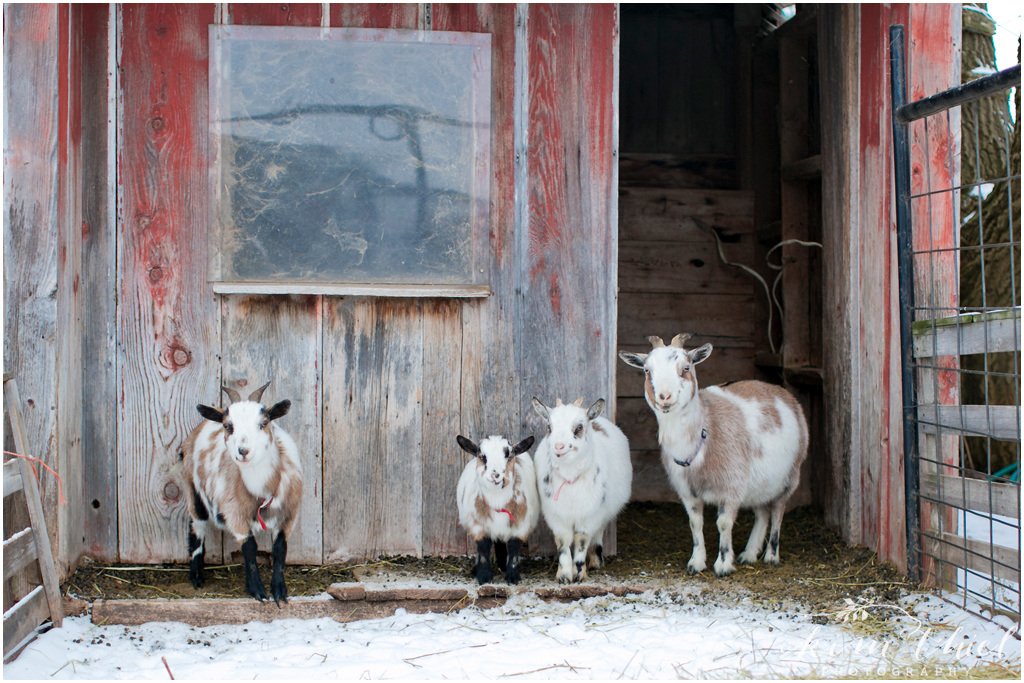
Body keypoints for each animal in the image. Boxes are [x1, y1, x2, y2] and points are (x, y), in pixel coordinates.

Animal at [176, 382, 301, 606]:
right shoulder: (235, 512)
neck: (262, 488)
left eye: (264, 423)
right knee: (197, 524)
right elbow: (249, 548)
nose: (243, 451)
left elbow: (280, 548)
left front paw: (279, 591)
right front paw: (257, 590)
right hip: (192, 486)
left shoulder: (289, 513)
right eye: (228, 426)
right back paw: (197, 575)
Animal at [454, 436, 540, 585]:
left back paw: (502, 565)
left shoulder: (520, 526)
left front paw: (512, 576)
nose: (495, 475)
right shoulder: (478, 526)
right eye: (482, 456)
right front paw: (484, 576)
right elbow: (483, 547)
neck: (497, 500)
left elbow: (513, 548)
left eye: (508, 455)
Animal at [528, 397, 630, 585]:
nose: (559, 446)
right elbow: (563, 542)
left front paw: (578, 574)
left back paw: (596, 562)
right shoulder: (556, 516)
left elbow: (581, 540)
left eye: (579, 427)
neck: (569, 475)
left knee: (597, 534)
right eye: (549, 427)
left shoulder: (590, 514)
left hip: (603, 513)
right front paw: (564, 575)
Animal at [614, 335, 806, 577]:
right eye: (647, 370)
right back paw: (749, 554)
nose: (664, 397)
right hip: (760, 482)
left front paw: (723, 564)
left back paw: (771, 556)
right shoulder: (687, 491)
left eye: (686, 368)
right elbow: (695, 523)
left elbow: (723, 523)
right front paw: (696, 562)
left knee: (778, 512)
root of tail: (781, 392)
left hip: (790, 476)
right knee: (762, 512)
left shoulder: (732, 485)